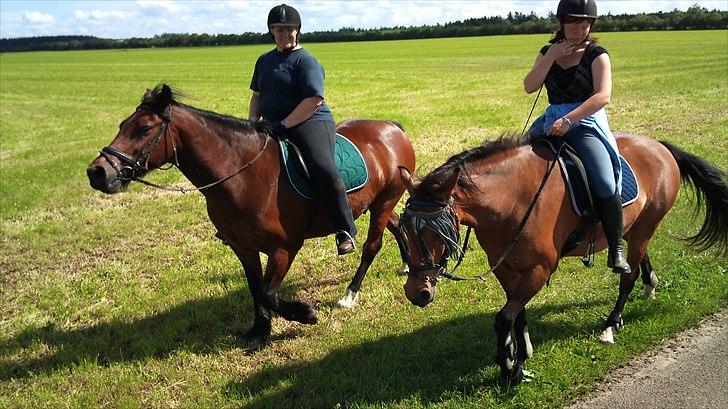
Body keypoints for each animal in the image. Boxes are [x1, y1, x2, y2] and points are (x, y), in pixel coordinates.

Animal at [85, 85, 416, 342]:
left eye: (144, 129)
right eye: (121, 125)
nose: (97, 173)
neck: (243, 175)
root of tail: (391, 128)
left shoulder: (284, 248)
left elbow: (269, 292)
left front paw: (305, 313)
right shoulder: (243, 247)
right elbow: (256, 289)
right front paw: (259, 330)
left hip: (384, 202)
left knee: (372, 246)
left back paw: (349, 295)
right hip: (378, 203)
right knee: (396, 224)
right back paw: (407, 265)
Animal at [398, 133, 728, 382]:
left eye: (435, 231)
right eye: (404, 228)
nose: (416, 292)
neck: (510, 200)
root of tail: (658, 146)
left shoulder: (540, 269)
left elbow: (503, 318)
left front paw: (510, 368)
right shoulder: (506, 268)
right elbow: (517, 312)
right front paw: (520, 351)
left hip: (646, 225)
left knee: (628, 276)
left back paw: (612, 322)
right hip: (635, 228)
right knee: (638, 260)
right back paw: (650, 284)